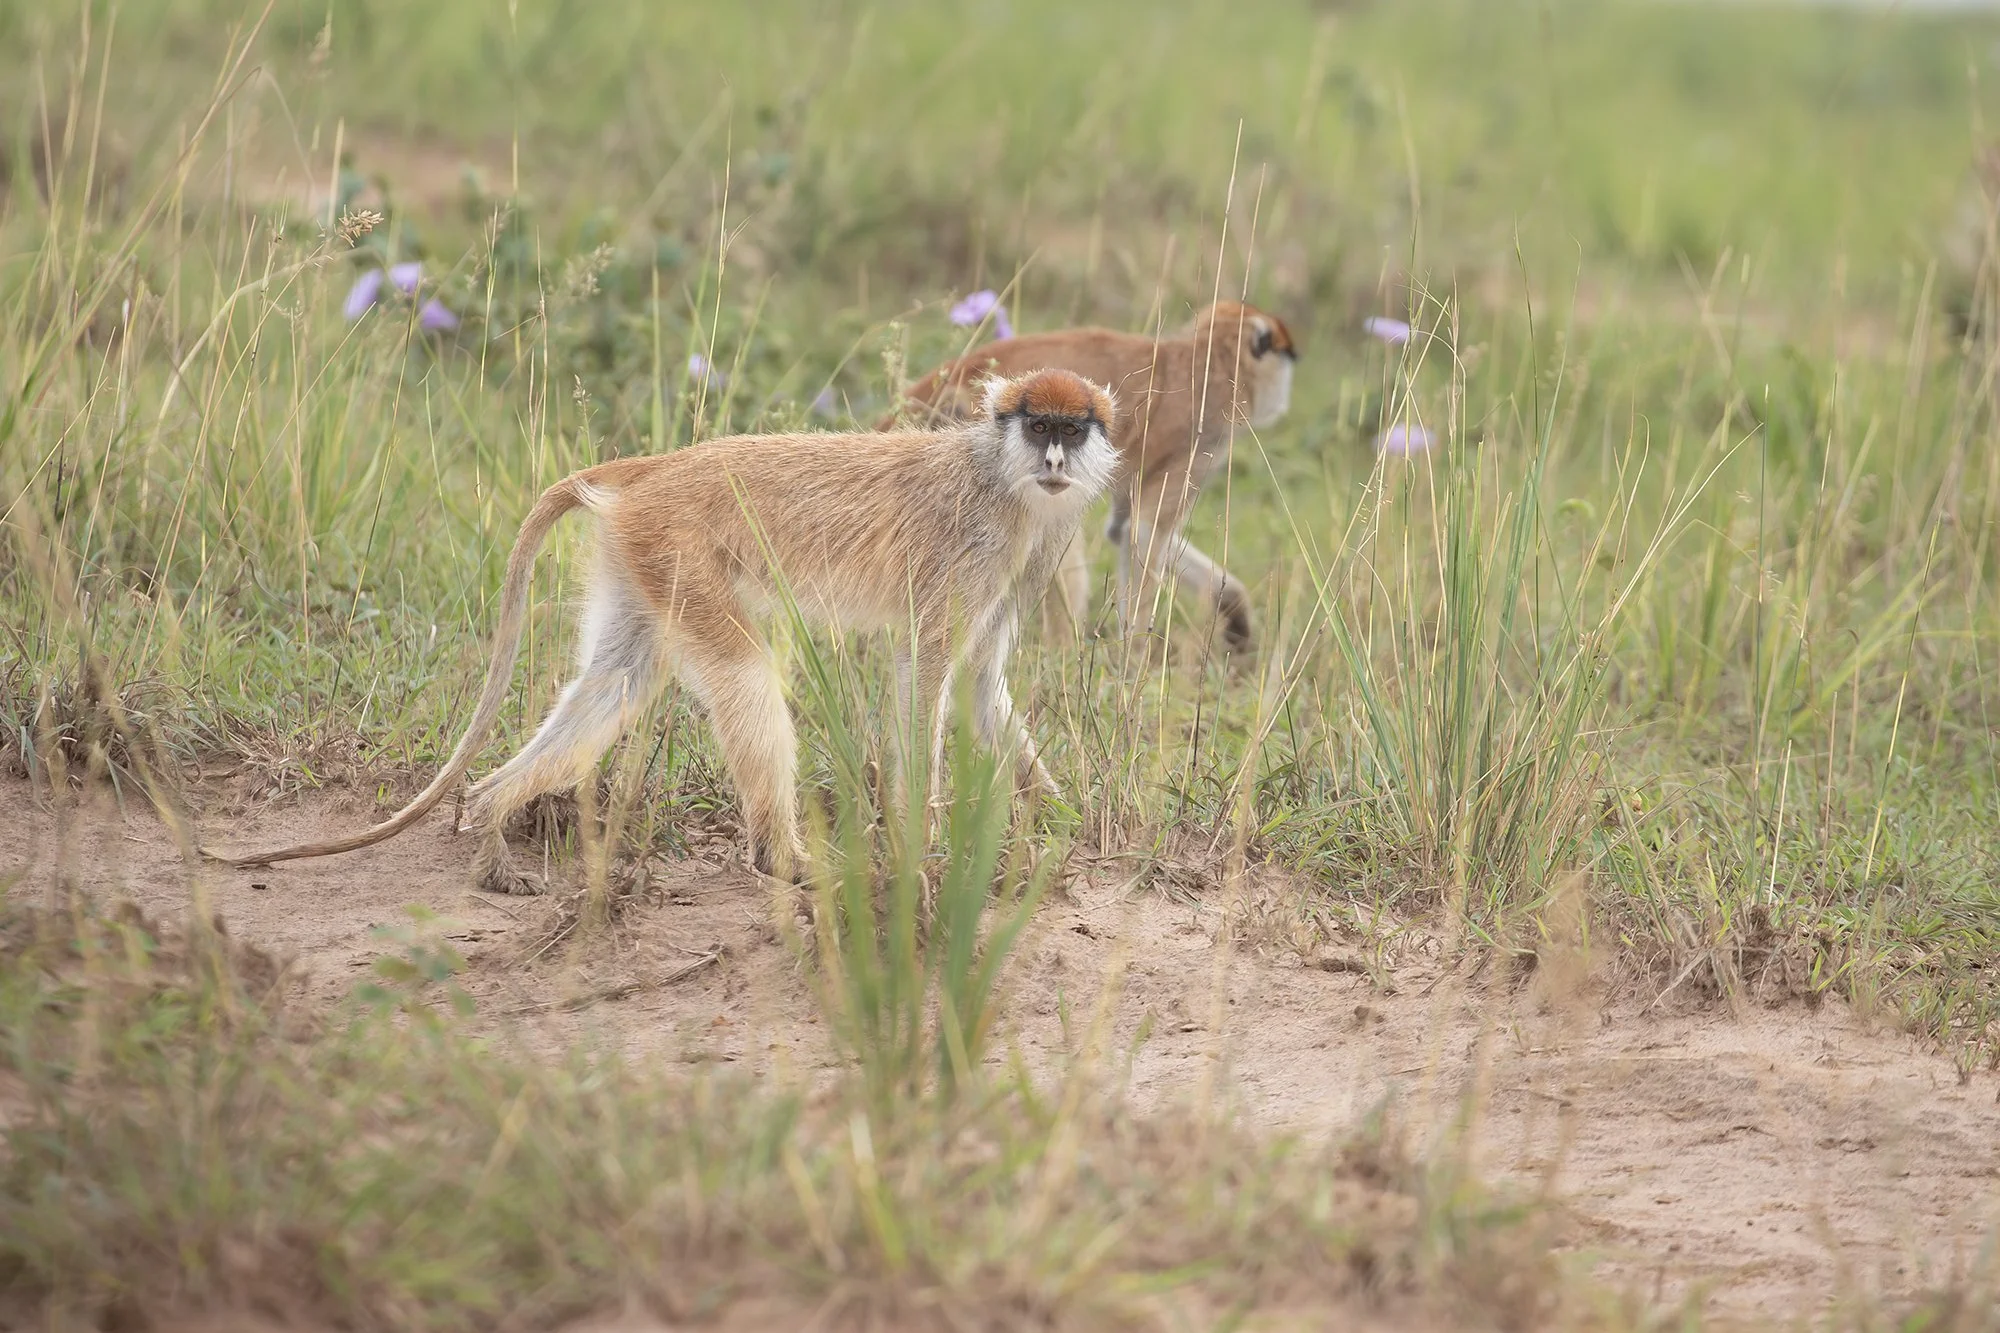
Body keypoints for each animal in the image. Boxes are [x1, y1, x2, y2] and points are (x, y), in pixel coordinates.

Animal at [203, 368, 1120, 894]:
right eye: (1038, 425)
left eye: (1073, 429)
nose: (1054, 461)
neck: (998, 476)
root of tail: (652, 469)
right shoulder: (973, 547)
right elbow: (924, 673)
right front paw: (921, 841)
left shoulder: (1026, 558)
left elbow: (978, 687)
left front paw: (1062, 817)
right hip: (682, 546)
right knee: (747, 673)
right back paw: (781, 859)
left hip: (643, 558)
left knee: (617, 679)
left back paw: (492, 811)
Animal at [888, 298, 1297, 654]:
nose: (1284, 395)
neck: (1209, 358)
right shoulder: (1197, 442)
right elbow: (1143, 534)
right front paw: (1135, 660)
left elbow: (1122, 530)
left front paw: (1236, 614)